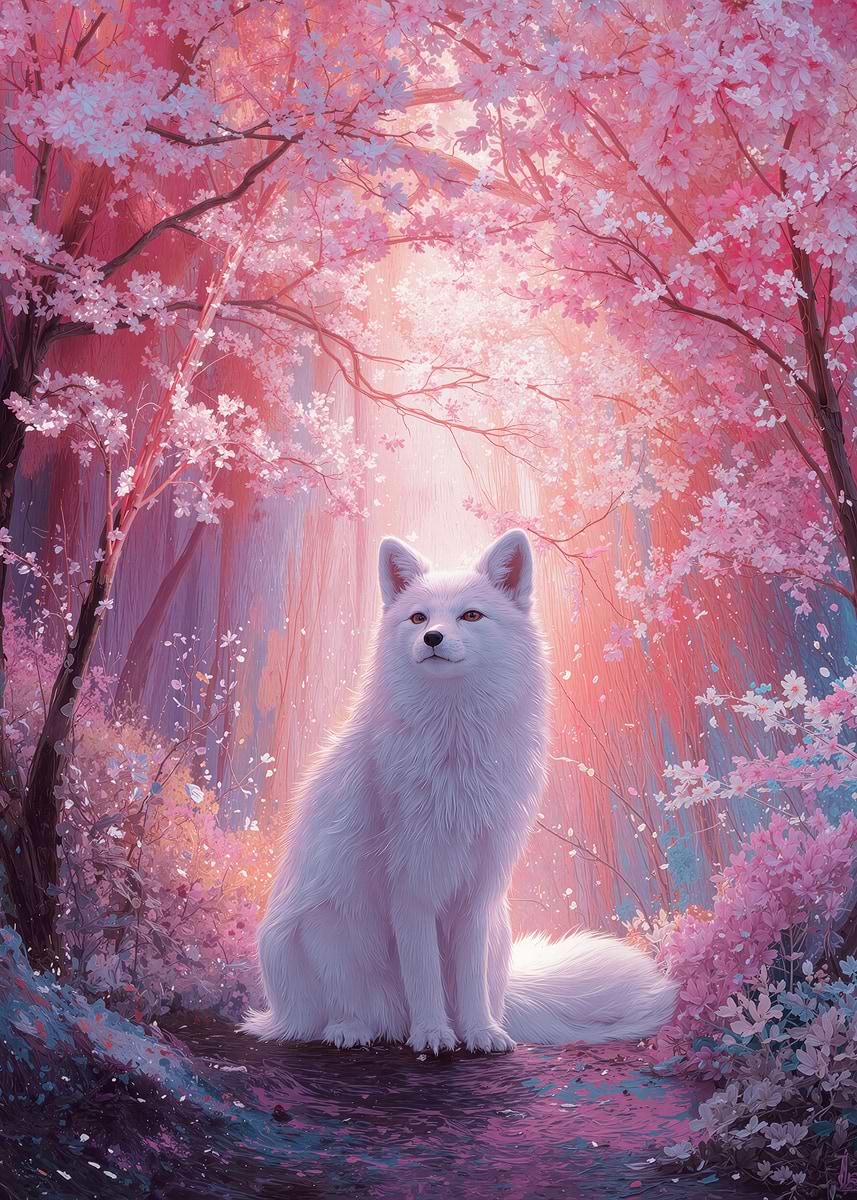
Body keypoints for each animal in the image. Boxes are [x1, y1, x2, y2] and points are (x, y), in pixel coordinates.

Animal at [242, 529, 677, 1053]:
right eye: (418, 617)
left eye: (471, 615)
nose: (432, 638)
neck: (455, 749)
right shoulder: (411, 887)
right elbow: (424, 973)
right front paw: (433, 1034)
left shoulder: (477, 894)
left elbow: (466, 980)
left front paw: (480, 1033)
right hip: (326, 928)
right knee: (340, 1012)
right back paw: (355, 1030)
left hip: (493, 934)